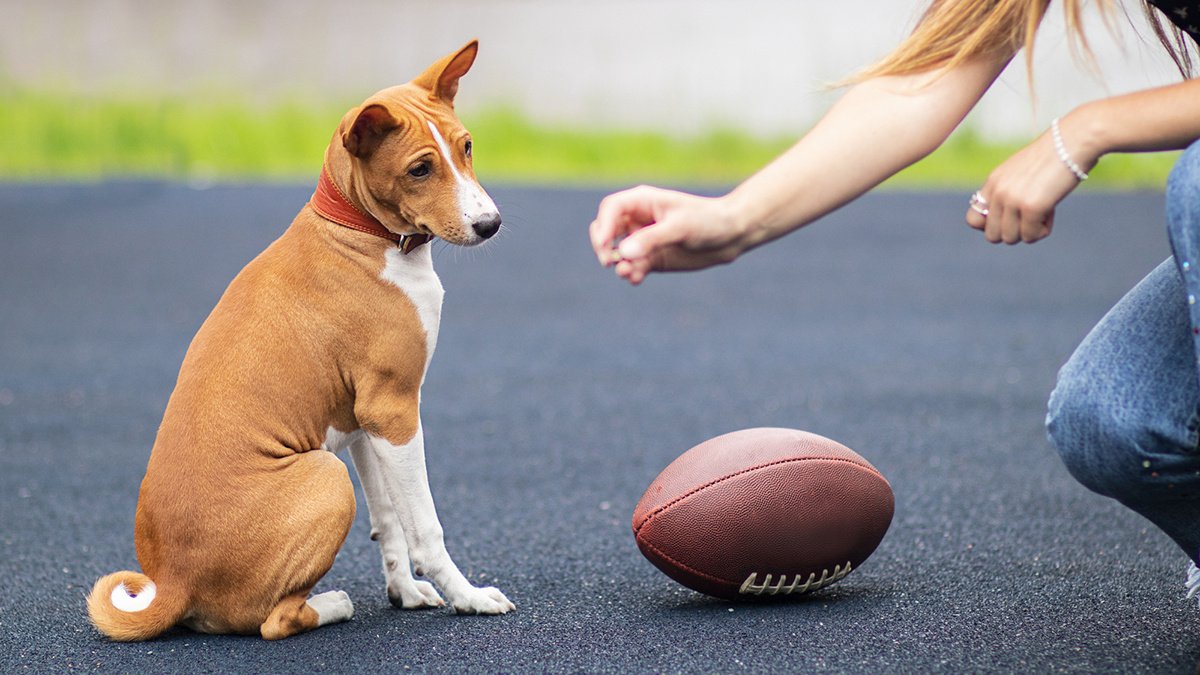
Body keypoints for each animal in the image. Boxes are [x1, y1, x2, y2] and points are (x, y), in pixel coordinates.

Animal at [87, 39, 513, 638]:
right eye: (420, 169)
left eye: (467, 147)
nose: (489, 224)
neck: (360, 232)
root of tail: (172, 584)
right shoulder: (395, 409)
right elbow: (425, 525)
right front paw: (468, 597)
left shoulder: (364, 420)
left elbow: (389, 520)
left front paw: (405, 592)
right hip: (326, 476)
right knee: (274, 621)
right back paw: (332, 604)